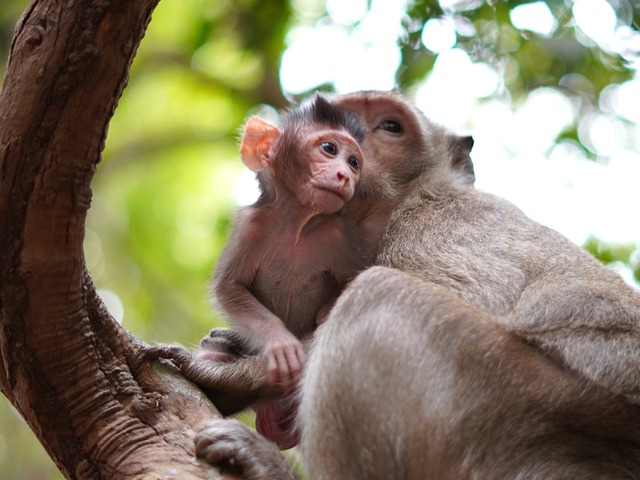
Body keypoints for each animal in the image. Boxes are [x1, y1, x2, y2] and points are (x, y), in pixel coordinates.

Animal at [210, 94, 364, 390]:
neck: (296, 226)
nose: (345, 176)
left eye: (354, 162)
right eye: (329, 148)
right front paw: (280, 342)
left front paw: (324, 315)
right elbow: (229, 287)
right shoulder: (250, 228)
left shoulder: (336, 235)